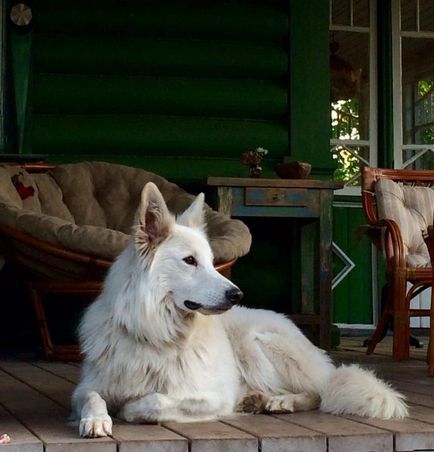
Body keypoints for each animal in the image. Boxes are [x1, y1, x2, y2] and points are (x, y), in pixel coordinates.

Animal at [71, 183, 406, 438]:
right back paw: (257, 399)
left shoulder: (212, 397)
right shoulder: (87, 387)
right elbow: (92, 397)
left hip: (257, 344)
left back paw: (279, 401)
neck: (156, 333)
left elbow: (154, 401)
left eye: (210, 261)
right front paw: (96, 419)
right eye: (190, 261)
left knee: (318, 391)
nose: (236, 294)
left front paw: (128, 408)